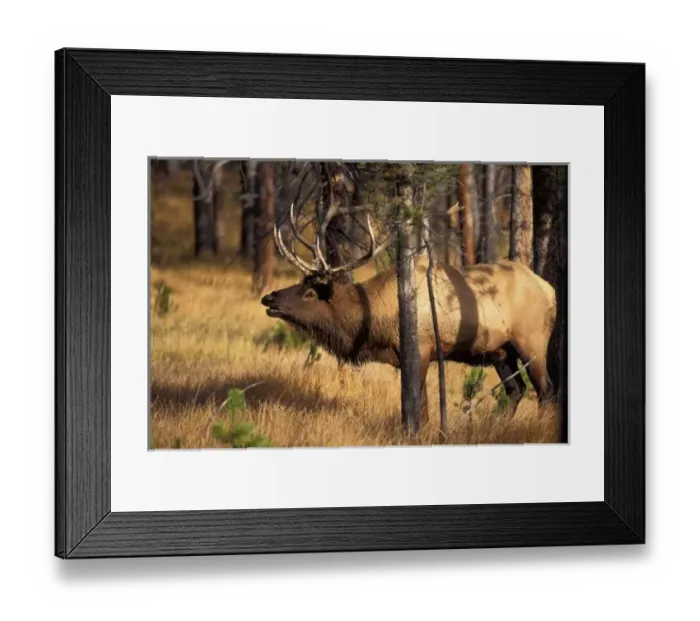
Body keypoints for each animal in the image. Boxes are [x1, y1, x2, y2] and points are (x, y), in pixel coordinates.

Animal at [261, 202, 558, 425]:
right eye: (300, 282)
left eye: (310, 293)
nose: (269, 298)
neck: (373, 325)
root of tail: (551, 290)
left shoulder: (422, 348)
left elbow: (420, 403)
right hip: (500, 351)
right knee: (516, 390)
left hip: (531, 342)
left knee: (545, 390)